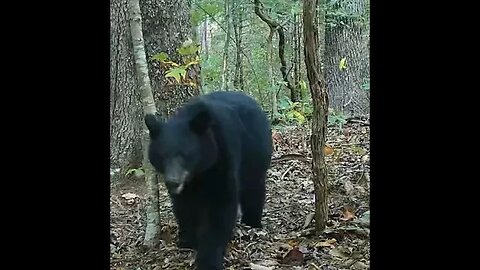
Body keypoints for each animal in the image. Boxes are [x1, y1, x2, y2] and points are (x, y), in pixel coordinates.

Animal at [144, 91, 272, 270]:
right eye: (162, 156)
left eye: (184, 155)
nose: (172, 182)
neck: (197, 173)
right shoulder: (186, 188)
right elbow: (184, 206)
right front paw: (188, 239)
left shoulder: (222, 158)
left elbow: (220, 208)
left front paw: (208, 259)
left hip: (255, 151)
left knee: (253, 186)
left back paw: (252, 221)